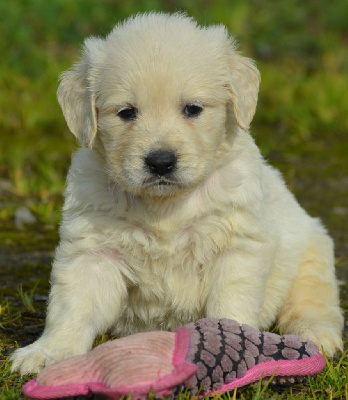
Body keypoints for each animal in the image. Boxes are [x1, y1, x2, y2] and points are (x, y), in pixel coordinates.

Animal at [10, 12, 342, 376]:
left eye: (192, 109)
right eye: (126, 112)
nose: (160, 162)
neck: (164, 205)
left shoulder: (237, 246)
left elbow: (230, 306)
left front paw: (234, 350)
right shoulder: (92, 251)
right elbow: (73, 306)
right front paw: (48, 352)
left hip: (312, 256)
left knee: (314, 304)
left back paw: (317, 336)